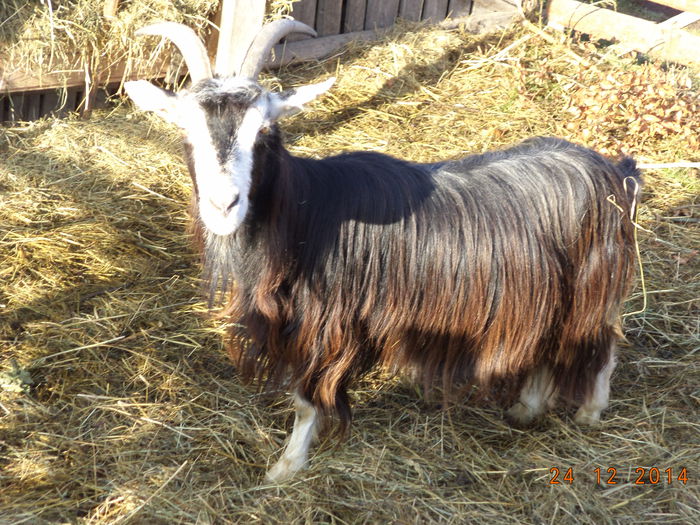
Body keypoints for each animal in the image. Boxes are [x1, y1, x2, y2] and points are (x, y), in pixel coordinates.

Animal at [124, 20, 640, 482]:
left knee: (603, 339)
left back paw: (590, 412)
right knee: (552, 343)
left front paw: (285, 469)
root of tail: (614, 170)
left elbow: (306, 400)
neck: (306, 216)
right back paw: (526, 408)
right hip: (548, 292)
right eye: (185, 129)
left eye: (266, 131)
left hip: (593, 281)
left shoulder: (327, 327)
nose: (224, 204)